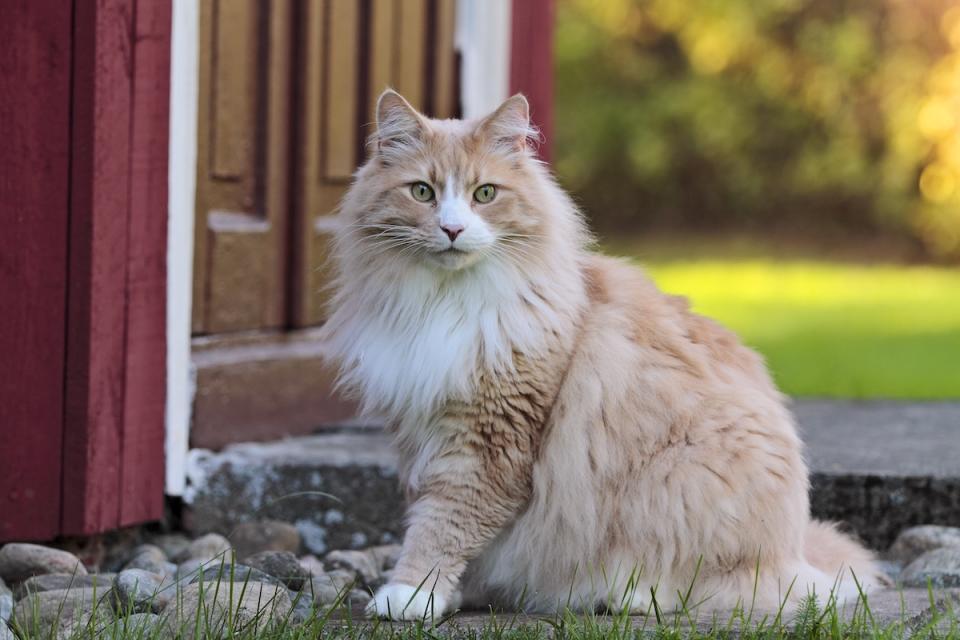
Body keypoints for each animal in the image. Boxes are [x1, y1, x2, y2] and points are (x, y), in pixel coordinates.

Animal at [322, 89, 884, 620]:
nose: (453, 230)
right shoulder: (421, 432)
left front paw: (411, 594)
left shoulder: (489, 443)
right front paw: (450, 594)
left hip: (682, 484)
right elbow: (433, 518)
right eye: (422, 192)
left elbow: (444, 525)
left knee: (710, 586)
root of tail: (796, 550)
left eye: (485, 194)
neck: (445, 303)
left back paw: (623, 595)